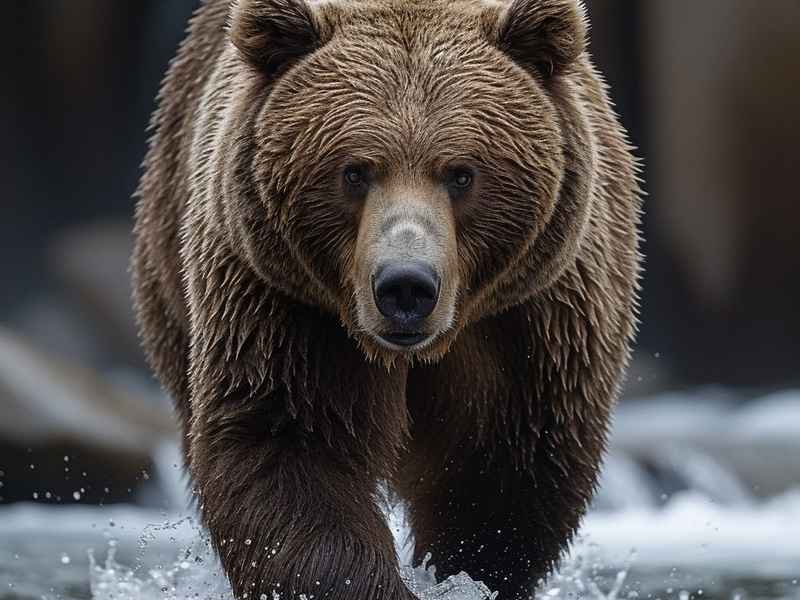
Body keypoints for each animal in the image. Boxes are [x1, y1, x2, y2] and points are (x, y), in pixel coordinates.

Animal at [131, 0, 641, 598]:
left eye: (461, 174)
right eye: (354, 171)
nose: (406, 286)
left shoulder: (534, 317)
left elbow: (502, 474)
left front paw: (460, 574)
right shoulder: (285, 307)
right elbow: (289, 447)